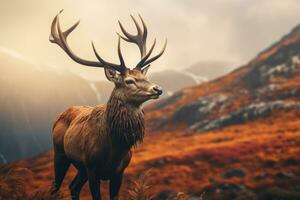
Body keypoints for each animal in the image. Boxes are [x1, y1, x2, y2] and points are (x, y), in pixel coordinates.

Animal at [49, 10, 166, 200]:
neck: (115, 150)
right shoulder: (92, 168)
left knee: (73, 186)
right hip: (60, 153)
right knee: (56, 186)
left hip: (80, 168)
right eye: (129, 80)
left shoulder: (119, 172)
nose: (158, 88)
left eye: (145, 76)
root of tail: (59, 116)